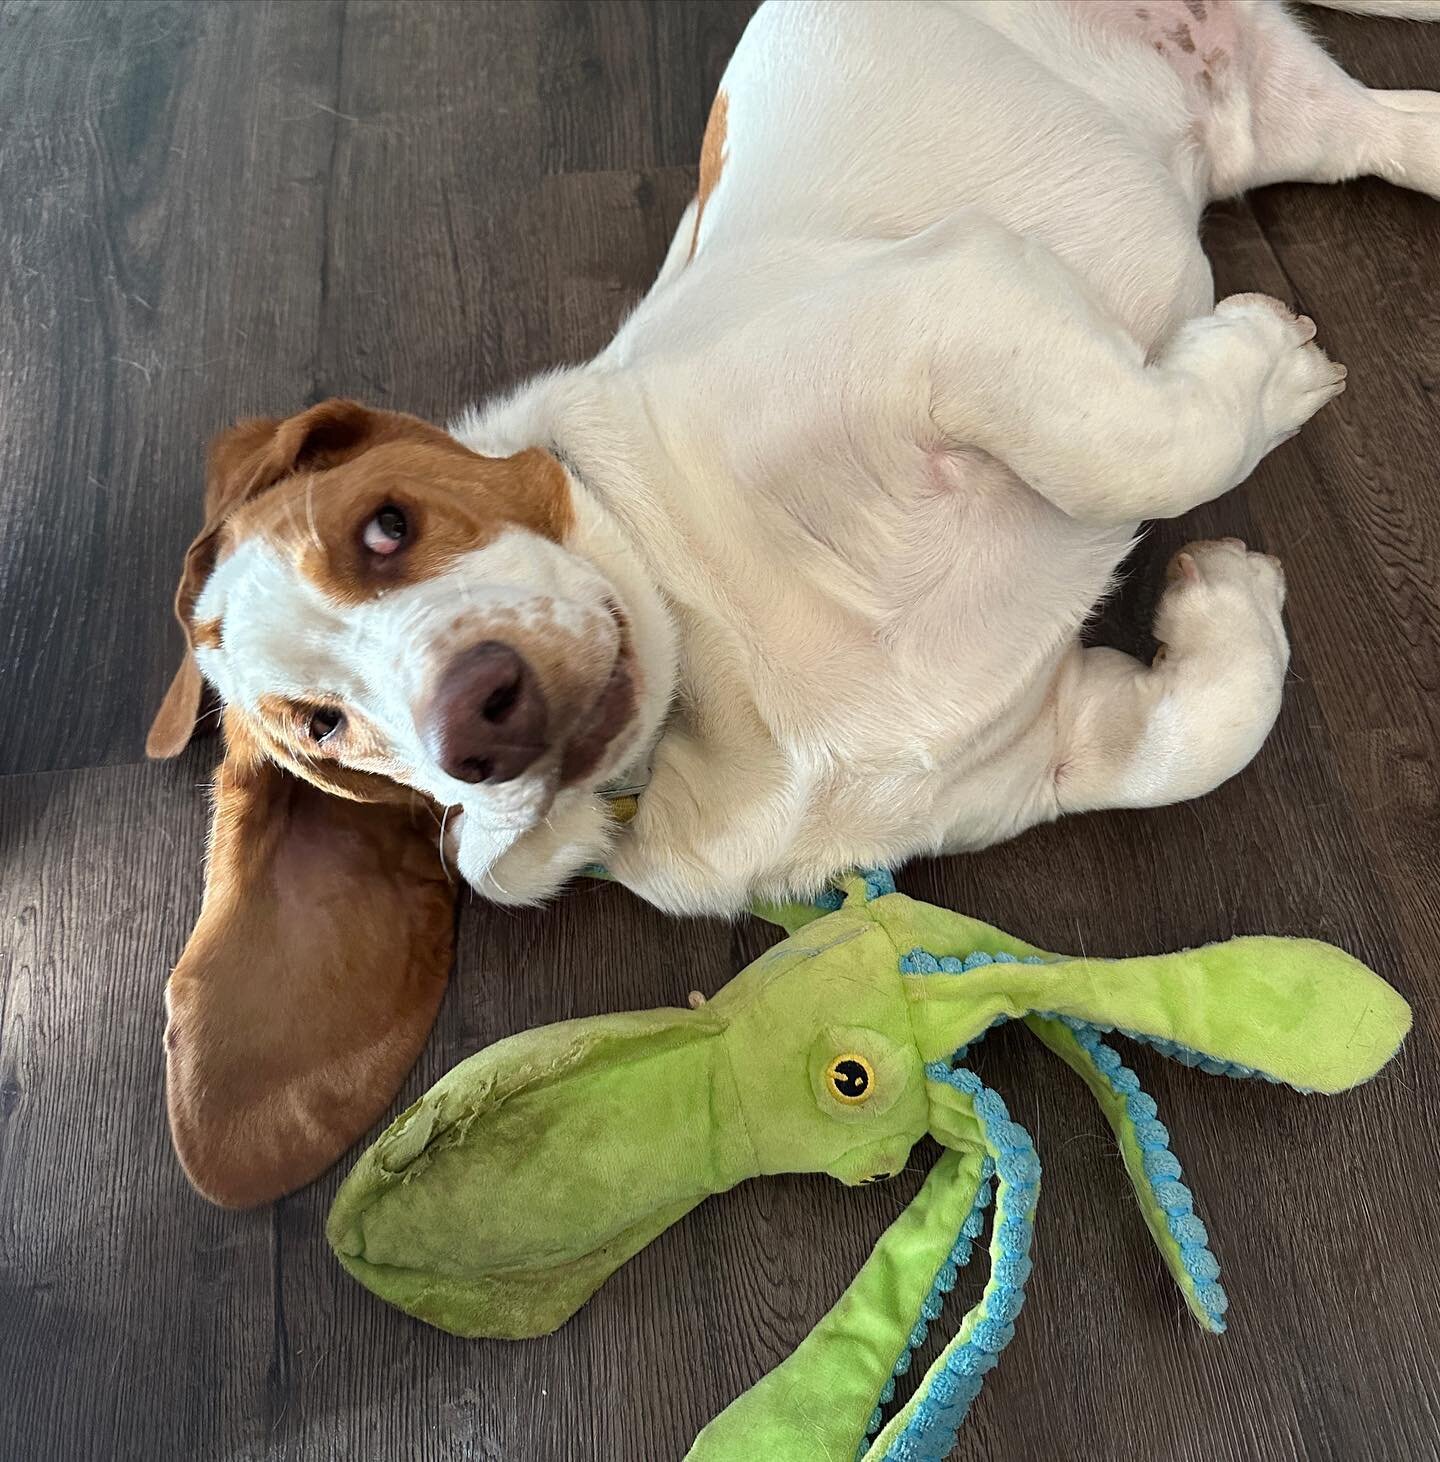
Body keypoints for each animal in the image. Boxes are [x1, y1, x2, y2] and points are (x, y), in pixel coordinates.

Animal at [149, 0, 1438, 1204]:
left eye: (387, 528)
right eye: (325, 726)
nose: (478, 717)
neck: (716, 702)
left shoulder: (951, 306)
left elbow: (1131, 456)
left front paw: (1264, 364)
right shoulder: (1056, 742)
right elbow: (1195, 736)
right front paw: (1230, 587)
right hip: (1301, 124)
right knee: (1396, 128)